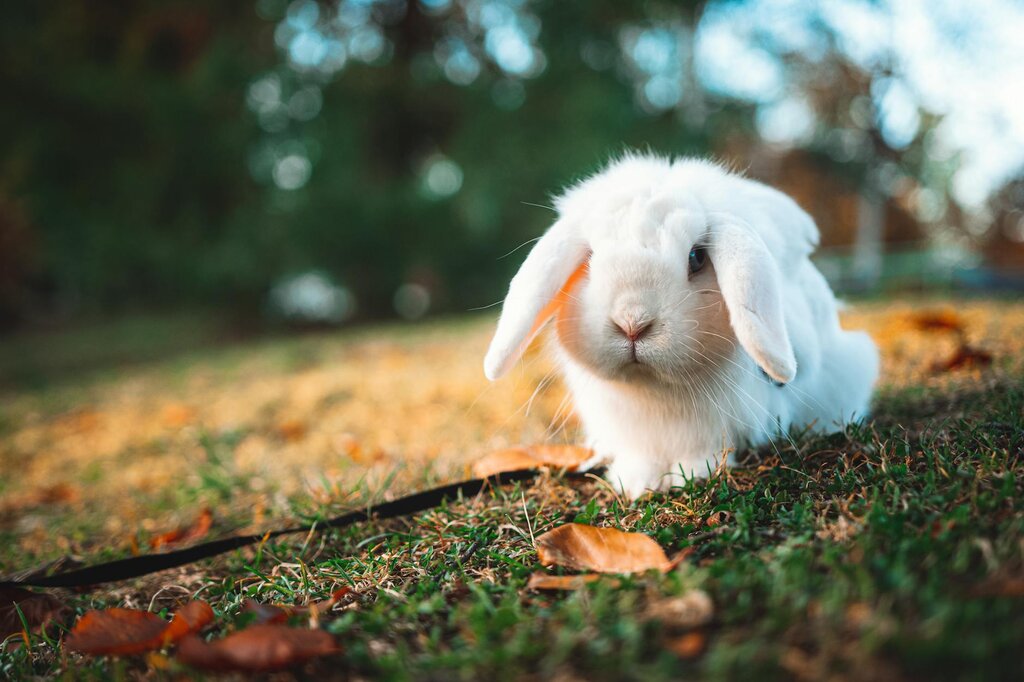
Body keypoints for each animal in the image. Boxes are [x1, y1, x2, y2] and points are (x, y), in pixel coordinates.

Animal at [483, 154, 879, 498]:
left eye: (696, 257)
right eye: (590, 259)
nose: (632, 322)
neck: (654, 392)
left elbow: (705, 450)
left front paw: (690, 475)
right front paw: (636, 482)